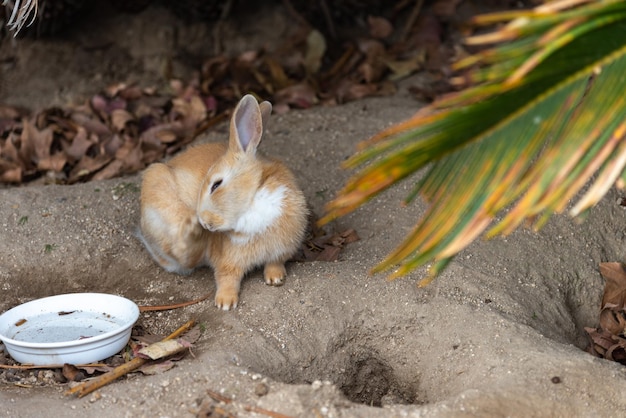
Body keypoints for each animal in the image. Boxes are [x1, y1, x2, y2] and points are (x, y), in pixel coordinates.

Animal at [140, 94, 308, 310]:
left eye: (216, 185)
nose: (204, 222)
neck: (253, 199)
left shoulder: (279, 251)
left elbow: (275, 264)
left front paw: (276, 279)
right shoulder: (228, 261)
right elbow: (227, 278)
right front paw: (225, 303)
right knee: (181, 256)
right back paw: (191, 232)